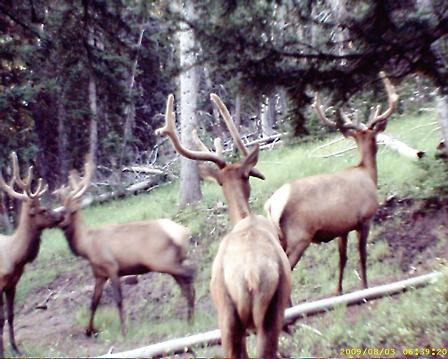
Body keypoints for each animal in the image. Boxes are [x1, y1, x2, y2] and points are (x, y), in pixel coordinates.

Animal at [0, 153, 63, 358]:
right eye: (42, 209)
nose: (62, 214)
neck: (15, 257)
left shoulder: (12, 284)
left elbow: (10, 317)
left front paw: (15, 349)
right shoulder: (0, 283)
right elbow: (1, 318)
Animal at [53, 160, 194, 338]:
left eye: (73, 210)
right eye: (62, 209)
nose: (61, 222)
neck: (86, 247)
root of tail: (184, 233)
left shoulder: (112, 267)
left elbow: (118, 300)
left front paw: (123, 330)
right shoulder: (99, 274)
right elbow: (93, 302)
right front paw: (89, 330)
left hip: (161, 261)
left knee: (191, 274)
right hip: (173, 261)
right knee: (185, 283)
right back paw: (189, 318)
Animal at [156, 93, 292, 359]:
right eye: (247, 174)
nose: (259, 174)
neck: (244, 218)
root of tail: (251, 276)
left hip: (228, 315)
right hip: (267, 310)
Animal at [264, 71, 398, 296]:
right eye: (374, 136)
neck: (368, 174)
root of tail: (272, 205)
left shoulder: (342, 228)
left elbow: (342, 259)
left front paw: (339, 290)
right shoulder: (365, 218)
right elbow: (362, 254)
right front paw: (365, 287)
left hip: (280, 238)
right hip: (299, 236)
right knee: (287, 270)